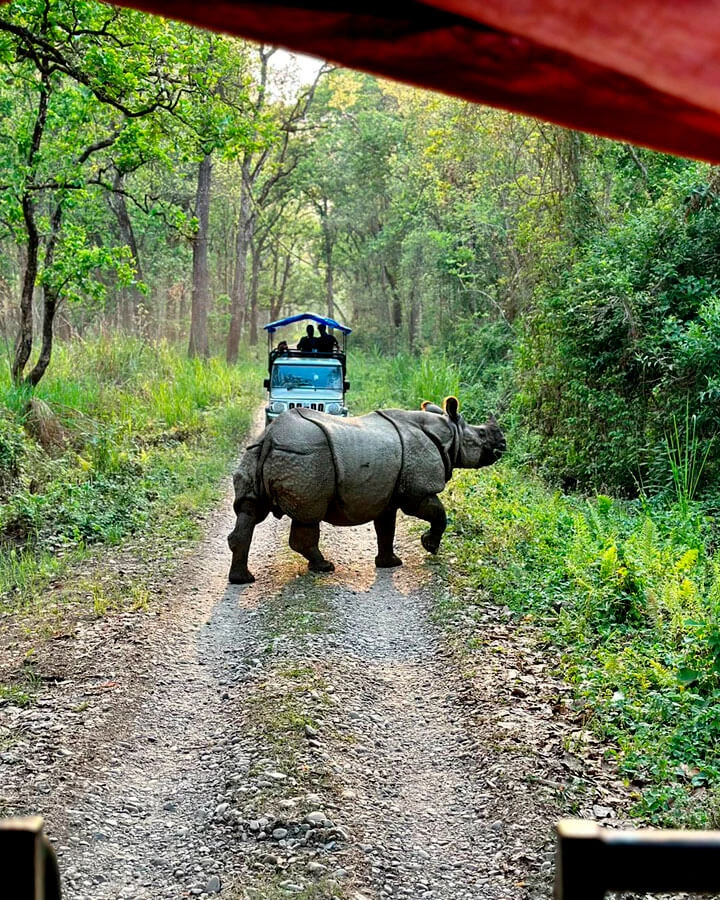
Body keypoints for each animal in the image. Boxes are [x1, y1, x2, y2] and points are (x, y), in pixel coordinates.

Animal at [227, 397, 505, 583]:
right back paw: (325, 567)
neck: (449, 434)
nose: (503, 444)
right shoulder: (418, 491)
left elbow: (386, 528)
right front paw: (430, 546)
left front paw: (389, 564)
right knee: (309, 516)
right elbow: (439, 514)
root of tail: (270, 437)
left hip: (255, 451)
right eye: (482, 435)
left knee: (249, 509)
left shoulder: (388, 493)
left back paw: (242, 579)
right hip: (307, 457)